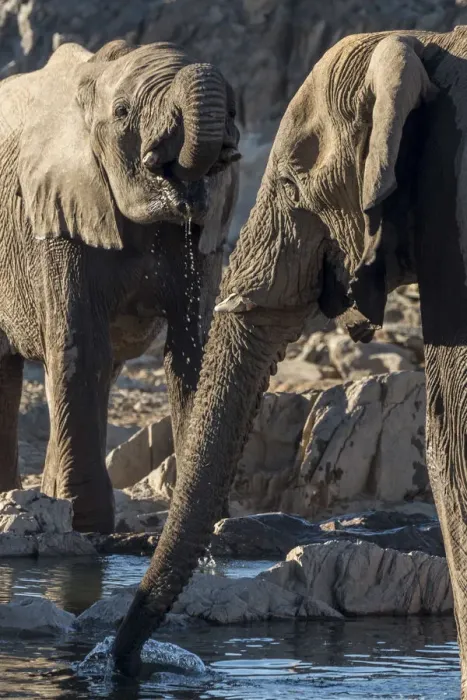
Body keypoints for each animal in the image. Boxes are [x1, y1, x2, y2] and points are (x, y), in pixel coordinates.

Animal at [0, 38, 240, 533]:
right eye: (123, 111)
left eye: (234, 110)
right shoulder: (60, 214)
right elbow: (80, 346)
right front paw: (87, 523)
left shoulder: (207, 237)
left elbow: (193, 351)